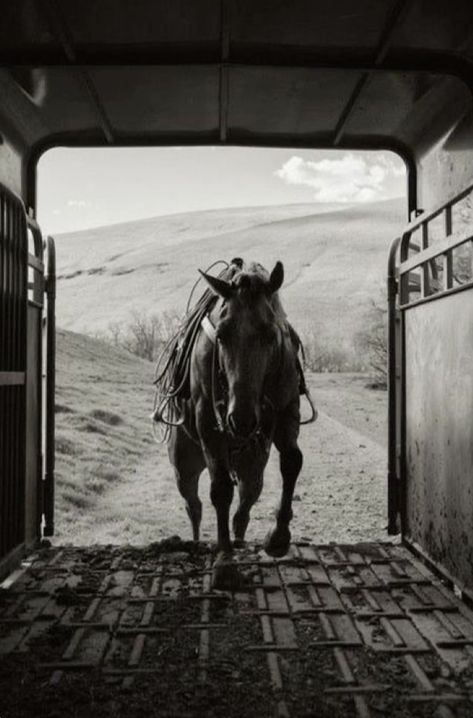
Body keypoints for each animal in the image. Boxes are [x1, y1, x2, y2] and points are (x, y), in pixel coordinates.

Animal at [164, 258, 302, 592]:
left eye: (270, 333)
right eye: (222, 334)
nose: (241, 419)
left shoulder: (287, 410)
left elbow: (292, 461)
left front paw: (278, 537)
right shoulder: (209, 426)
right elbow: (221, 491)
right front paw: (224, 562)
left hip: (252, 466)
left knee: (246, 503)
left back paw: (239, 538)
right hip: (185, 467)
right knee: (194, 504)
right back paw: (199, 540)